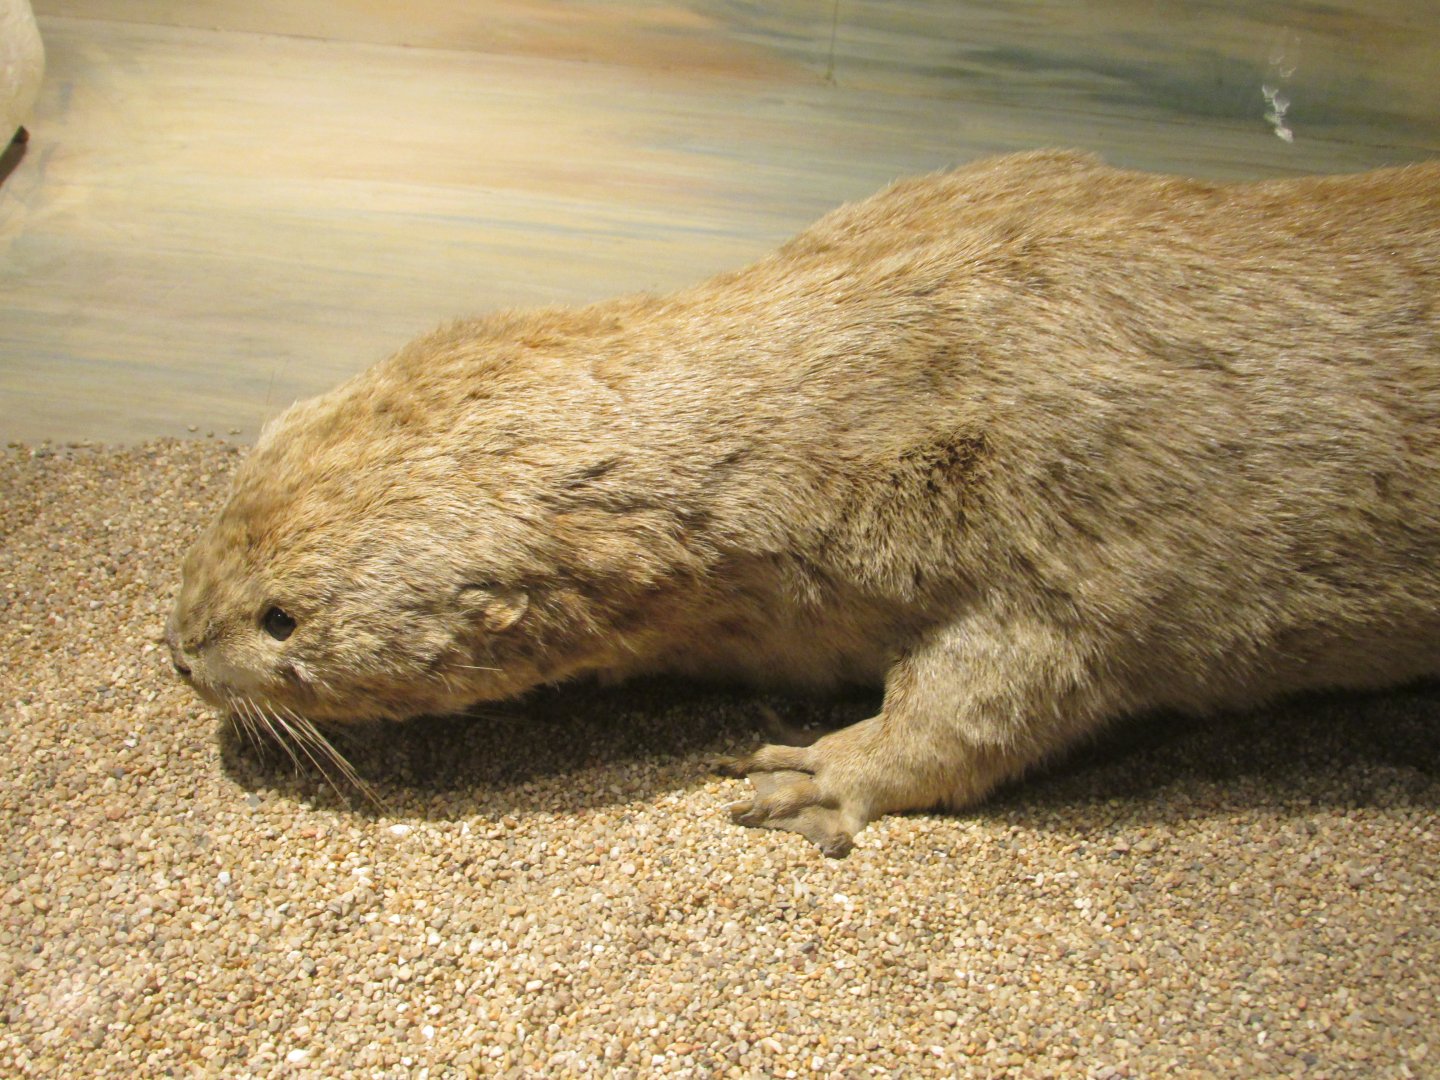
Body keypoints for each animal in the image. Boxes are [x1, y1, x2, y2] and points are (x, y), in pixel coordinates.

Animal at [168, 150, 1440, 856]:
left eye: (282, 619)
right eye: (233, 497)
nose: (178, 651)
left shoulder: (1081, 507)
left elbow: (1016, 687)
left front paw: (816, 775)